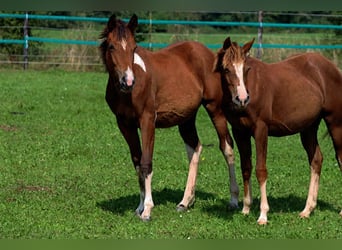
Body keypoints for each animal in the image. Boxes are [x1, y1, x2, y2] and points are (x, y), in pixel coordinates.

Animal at [97, 15, 239, 221]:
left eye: (133, 47)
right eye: (111, 46)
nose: (128, 81)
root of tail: (207, 54)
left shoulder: (147, 121)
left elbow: (146, 163)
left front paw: (147, 210)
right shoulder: (125, 125)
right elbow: (137, 162)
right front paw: (139, 207)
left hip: (215, 109)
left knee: (226, 146)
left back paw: (234, 200)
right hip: (186, 118)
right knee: (194, 147)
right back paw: (185, 202)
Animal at [214, 35, 342, 225]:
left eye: (246, 68)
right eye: (226, 69)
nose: (242, 99)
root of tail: (333, 69)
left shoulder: (261, 130)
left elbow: (261, 170)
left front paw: (263, 215)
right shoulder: (239, 132)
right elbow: (246, 167)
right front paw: (245, 209)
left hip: (335, 123)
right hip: (309, 127)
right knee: (316, 160)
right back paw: (307, 210)